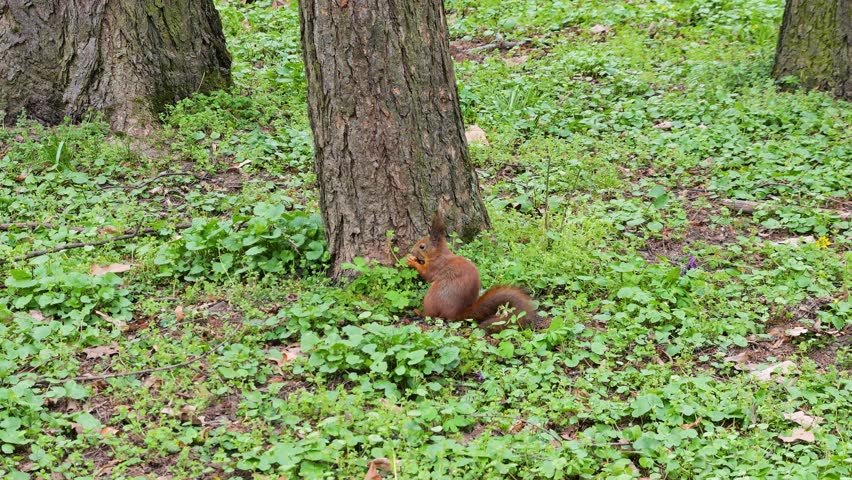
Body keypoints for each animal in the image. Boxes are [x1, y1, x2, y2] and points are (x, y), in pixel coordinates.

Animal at [405, 212, 538, 333]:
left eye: (422, 246)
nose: (411, 251)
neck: (438, 254)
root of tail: (456, 313)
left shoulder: (436, 266)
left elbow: (426, 274)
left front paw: (412, 261)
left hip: (432, 298)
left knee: (432, 315)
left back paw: (419, 312)